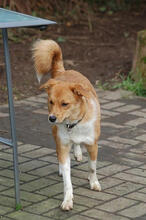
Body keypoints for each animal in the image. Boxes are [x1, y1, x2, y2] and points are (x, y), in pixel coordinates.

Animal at [32, 40, 101, 211]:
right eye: (51, 102)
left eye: (65, 104)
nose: (51, 118)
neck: (73, 124)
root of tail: (63, 71)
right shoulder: (62, 144)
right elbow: (67, 181)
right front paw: (68, 200)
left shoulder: (93, 145)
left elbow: (92, 167)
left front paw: (94, 182)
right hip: (55, 134)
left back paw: (78, 152)